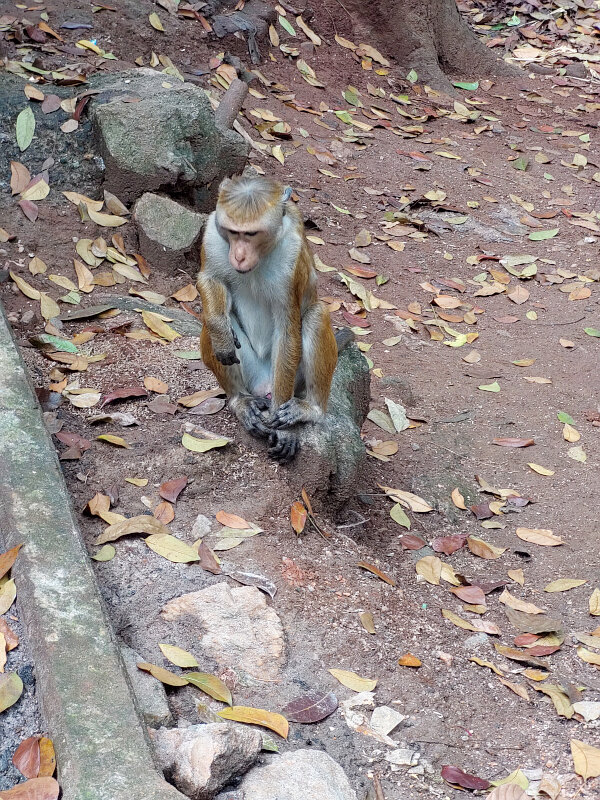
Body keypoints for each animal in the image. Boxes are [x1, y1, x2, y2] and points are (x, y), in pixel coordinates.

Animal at [197, 174, 348, 464]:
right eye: (232, 231)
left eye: (251, 234)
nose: (238, 255)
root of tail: (264, 385)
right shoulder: (211, 235)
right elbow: (209, 278)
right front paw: (220, 333)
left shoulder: (291, 258)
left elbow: (288, 330)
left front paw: (285, 431)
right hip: (251, 372)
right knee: (210, 323)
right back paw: (239, 400)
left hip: (292, 381)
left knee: (316, 315)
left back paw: (311, 409)